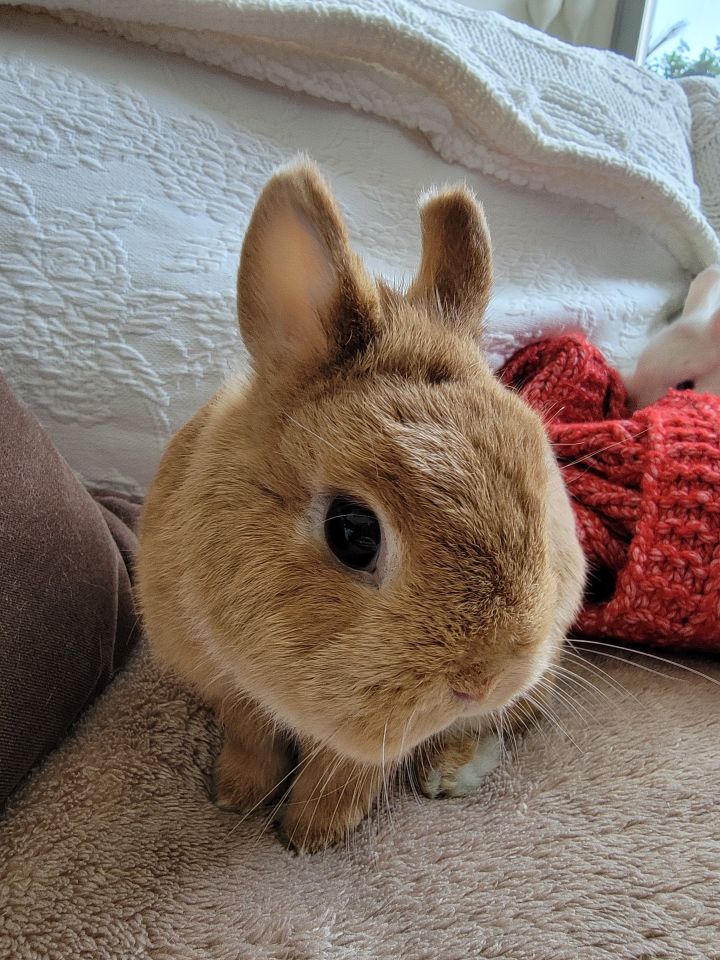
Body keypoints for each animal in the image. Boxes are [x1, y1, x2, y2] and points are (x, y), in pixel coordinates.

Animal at [135, 161, 584, 852]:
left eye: (542, 487)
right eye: (352, 532)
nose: (482, 679)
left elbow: (349, 765)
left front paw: (310, 833)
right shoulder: (225, 685)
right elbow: (250, 732)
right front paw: (238, 796)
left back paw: (450, 773)